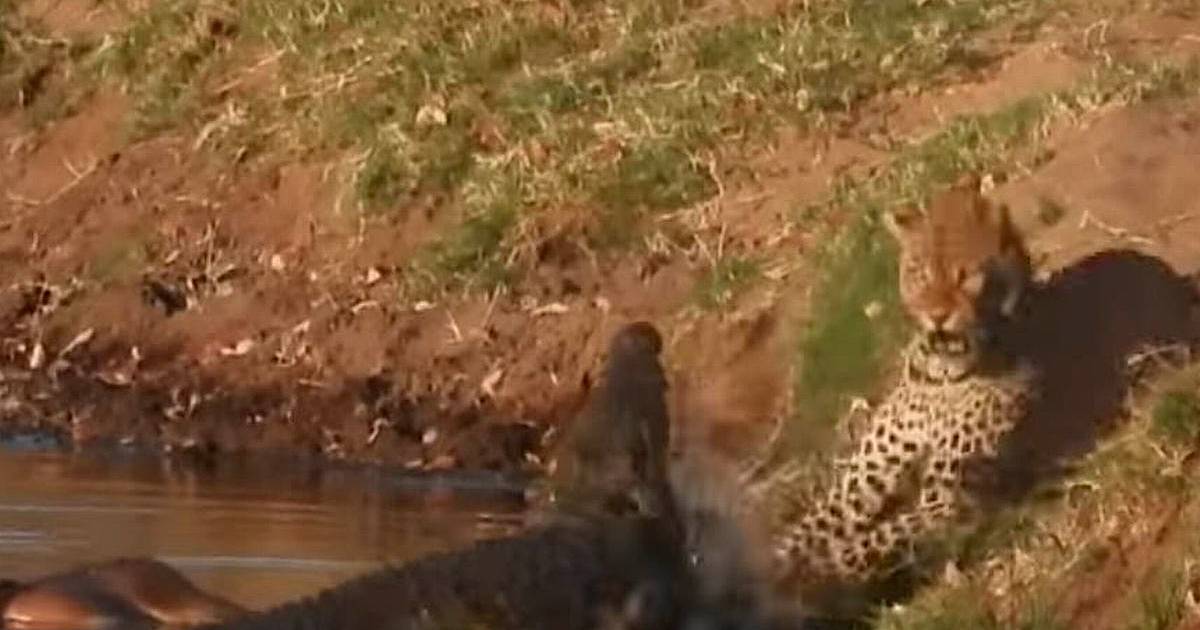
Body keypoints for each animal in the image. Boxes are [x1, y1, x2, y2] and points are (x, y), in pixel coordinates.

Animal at [768, 173, 1040, 585]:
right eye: (918, 272)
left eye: (966, 275)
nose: (937, 316)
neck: (940, 376)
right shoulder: (861, 482)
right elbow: (807, 531)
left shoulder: (945, 501)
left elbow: (858, 547)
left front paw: (805, 580)